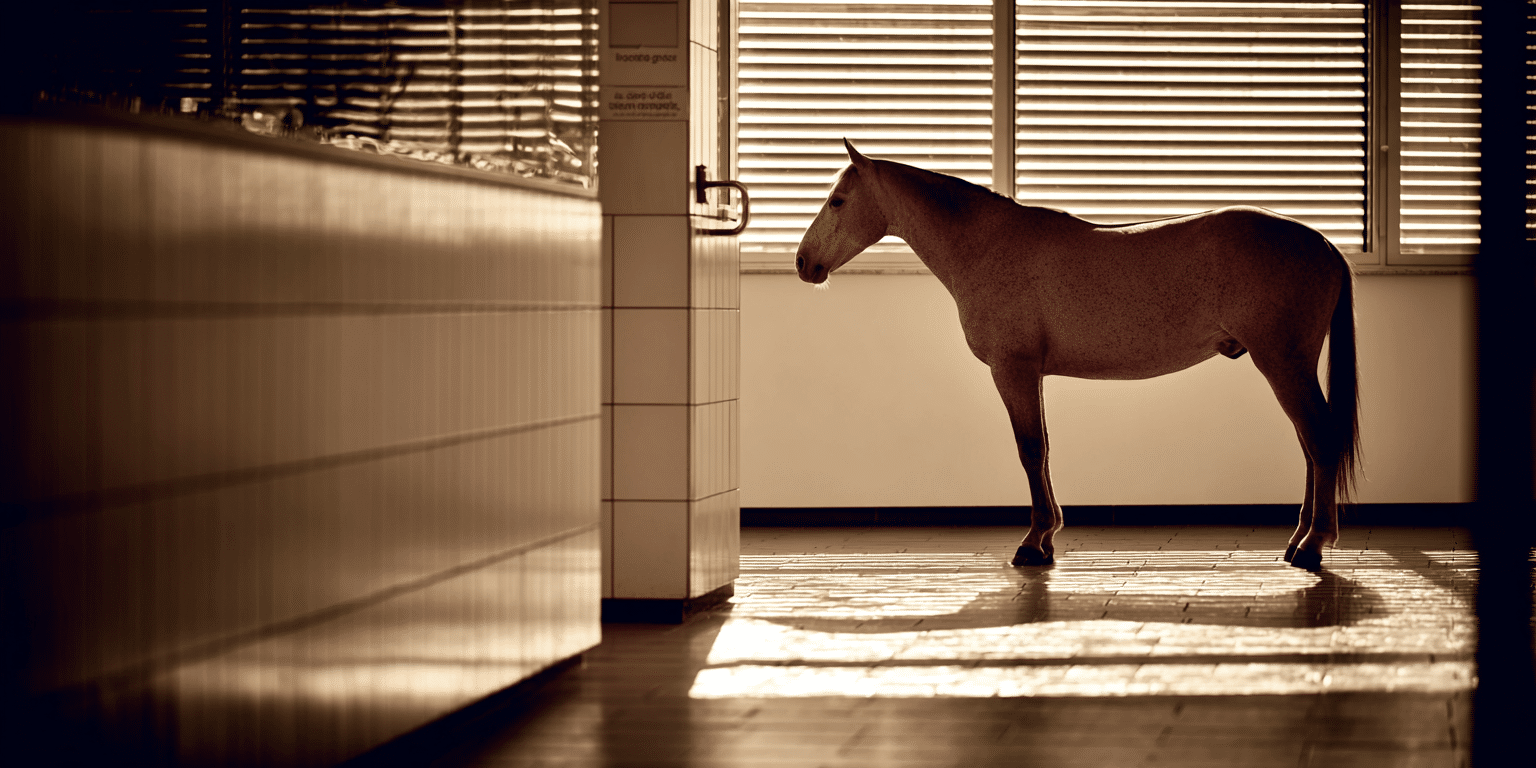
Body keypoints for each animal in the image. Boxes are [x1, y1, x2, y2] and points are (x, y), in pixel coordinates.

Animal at [793, 140, 1359, 572]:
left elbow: (1029, 450)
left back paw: (1312, 546)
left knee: (1319, 440)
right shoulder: (1032, 374)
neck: (987, 245)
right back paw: (1298, 540)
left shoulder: (1013, 370)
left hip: (1283, 364)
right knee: (1311, 445)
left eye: (837, 200)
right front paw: (1047, 539)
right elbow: (1043, 448)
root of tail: (1323, 243)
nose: (803, 262)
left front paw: (1034, 541)